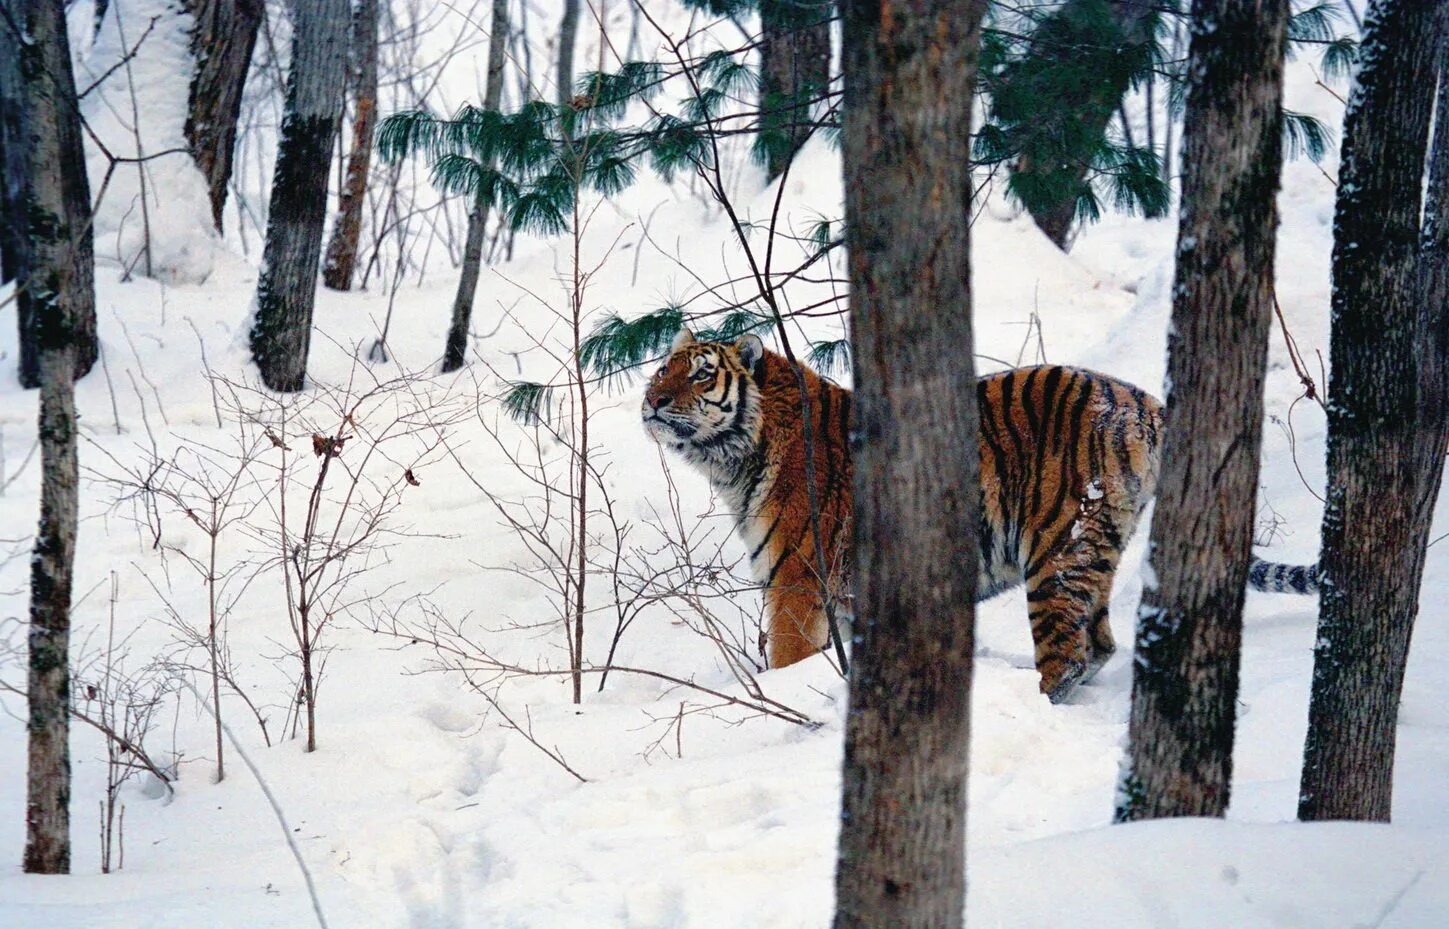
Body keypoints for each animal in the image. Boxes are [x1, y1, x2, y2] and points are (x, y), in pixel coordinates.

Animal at [640, 330, 1321, 698]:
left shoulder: (797, 586)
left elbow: (787, 659)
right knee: (1099, 644)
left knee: (1067, 655)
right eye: (662, 369)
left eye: (700, 375)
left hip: (1057, 553)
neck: (737, 459)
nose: (651, 401)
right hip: (1096, 551)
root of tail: (1143, 399)